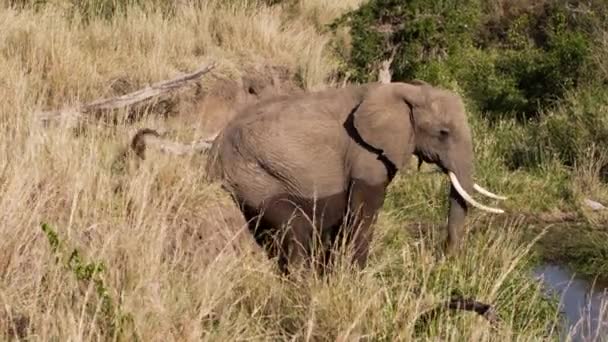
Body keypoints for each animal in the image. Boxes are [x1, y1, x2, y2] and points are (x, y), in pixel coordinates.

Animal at [201, 81, 508, 276]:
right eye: (443, 133)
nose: (445, 263)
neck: (407, 90)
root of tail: (212, 153)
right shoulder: (365, 152)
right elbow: (364, 212)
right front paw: (354, 278)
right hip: (252, 175)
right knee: (295, 228)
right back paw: (303, 283)